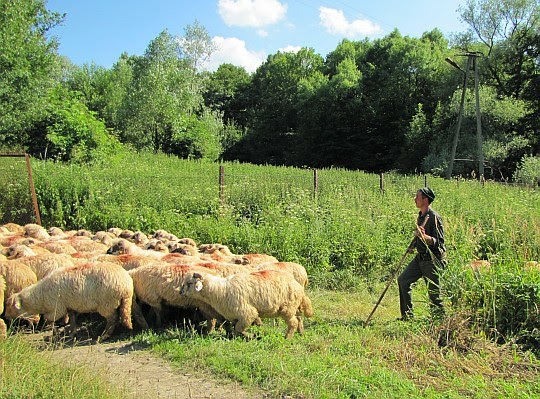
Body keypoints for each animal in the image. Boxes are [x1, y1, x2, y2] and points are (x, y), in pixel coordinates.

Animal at [3, 262, 146, 340]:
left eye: (10, 307)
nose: (5, 317)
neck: (40, 297)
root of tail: (126, 284)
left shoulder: (57, 308)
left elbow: (50, 320)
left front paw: (54, 333)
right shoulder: (69, 307)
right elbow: (72, 320)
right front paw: (71, 333)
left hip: (107, 304)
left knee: (112, 320)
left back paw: (105, 335)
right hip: (130, 300)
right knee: (137, 312)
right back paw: (144, 326)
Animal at [179, 268, 312, 340]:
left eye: (190, 283)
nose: (180, 292)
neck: (220, 290)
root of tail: (298, 286)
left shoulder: (247, 313)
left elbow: (239, 329)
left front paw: (251, 335)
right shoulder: (234, 316)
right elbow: (235, 329)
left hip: (287, 308)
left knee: (293, 322)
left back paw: (287, 337)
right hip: (292, 308)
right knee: (299, 319)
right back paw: (301, 333)